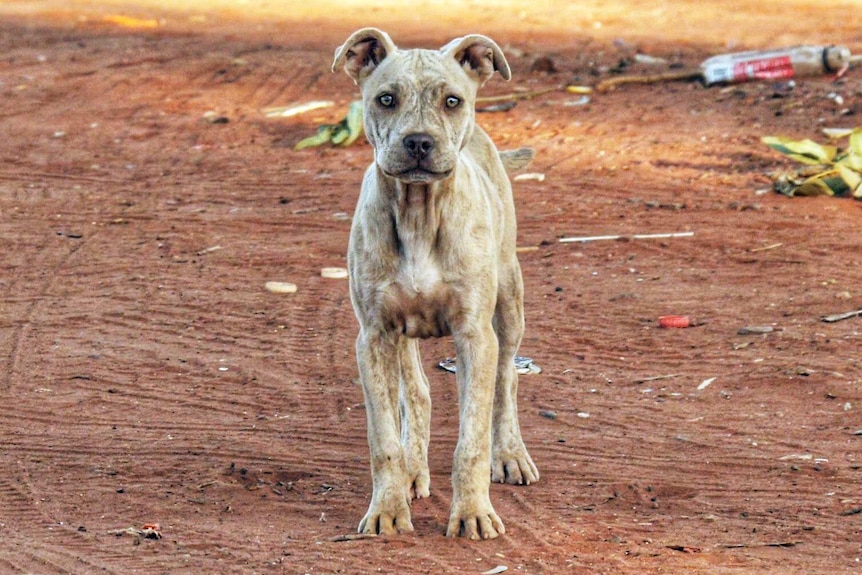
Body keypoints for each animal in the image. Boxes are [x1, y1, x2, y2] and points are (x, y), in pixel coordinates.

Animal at [332, 27, 540, 540]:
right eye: (386, 99)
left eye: (452, 101)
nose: (419, 142)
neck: (419, 212)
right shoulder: (374, 336)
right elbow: (383, 436)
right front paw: (387, 509)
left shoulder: (475, 335)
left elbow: (472, 438)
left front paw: (473, 513)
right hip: (401, 335)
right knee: (418, 393)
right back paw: (413, 471)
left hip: (510, 302)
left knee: (507, 381)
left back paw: (511, 456)